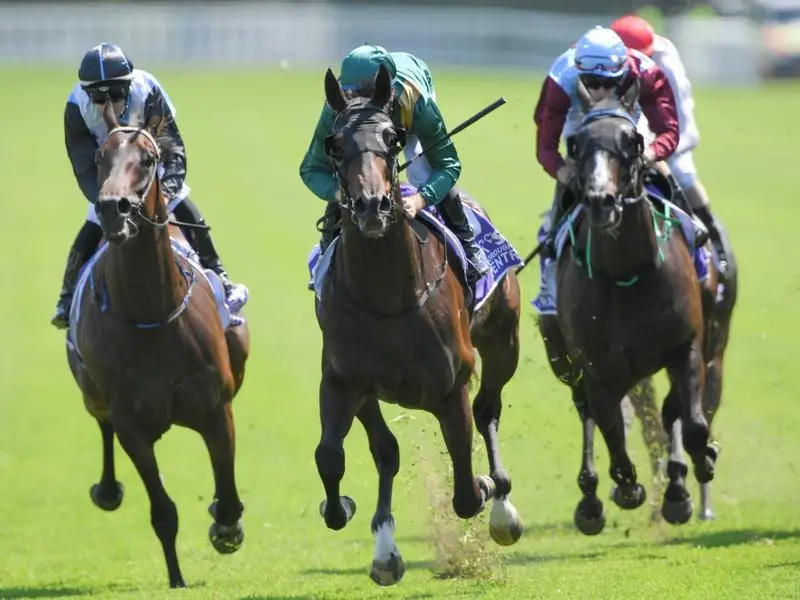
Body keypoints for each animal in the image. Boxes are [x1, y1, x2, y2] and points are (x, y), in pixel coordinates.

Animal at [66, 102, 250, 584]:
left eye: (148, 160)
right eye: (100, 159)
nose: (113, 209)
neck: (150, 312)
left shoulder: (216, 407)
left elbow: (227, 494)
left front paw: (226, 527)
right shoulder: (132, 423)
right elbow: (163, 511)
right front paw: (177, 578)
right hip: (91, 392)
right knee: (101, 422)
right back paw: (108, 490)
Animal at [310, 65, 520, 584]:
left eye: (392, 139)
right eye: (334, 145)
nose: (371, 206)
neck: (388, 298)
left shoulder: (451, 385)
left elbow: (465, 490)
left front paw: (486, 487)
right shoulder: (344, 380)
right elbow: (333, 456)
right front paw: (344, 510)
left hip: (504, 341)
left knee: (488, 409)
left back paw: (502, 504)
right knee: (385, 451)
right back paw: (385, 547)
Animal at [536, 78, 720, 536]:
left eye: (634, 141)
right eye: (576, 143)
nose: (601, 200)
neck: (626, 273)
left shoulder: (686, 347)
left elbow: (691, 423)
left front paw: (697, 469)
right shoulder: (595, 366)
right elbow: (612, 433)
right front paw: (627, 488)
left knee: (670, 413)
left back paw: (677, 485)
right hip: (563, 357)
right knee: (588, 413)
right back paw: (591, 498)